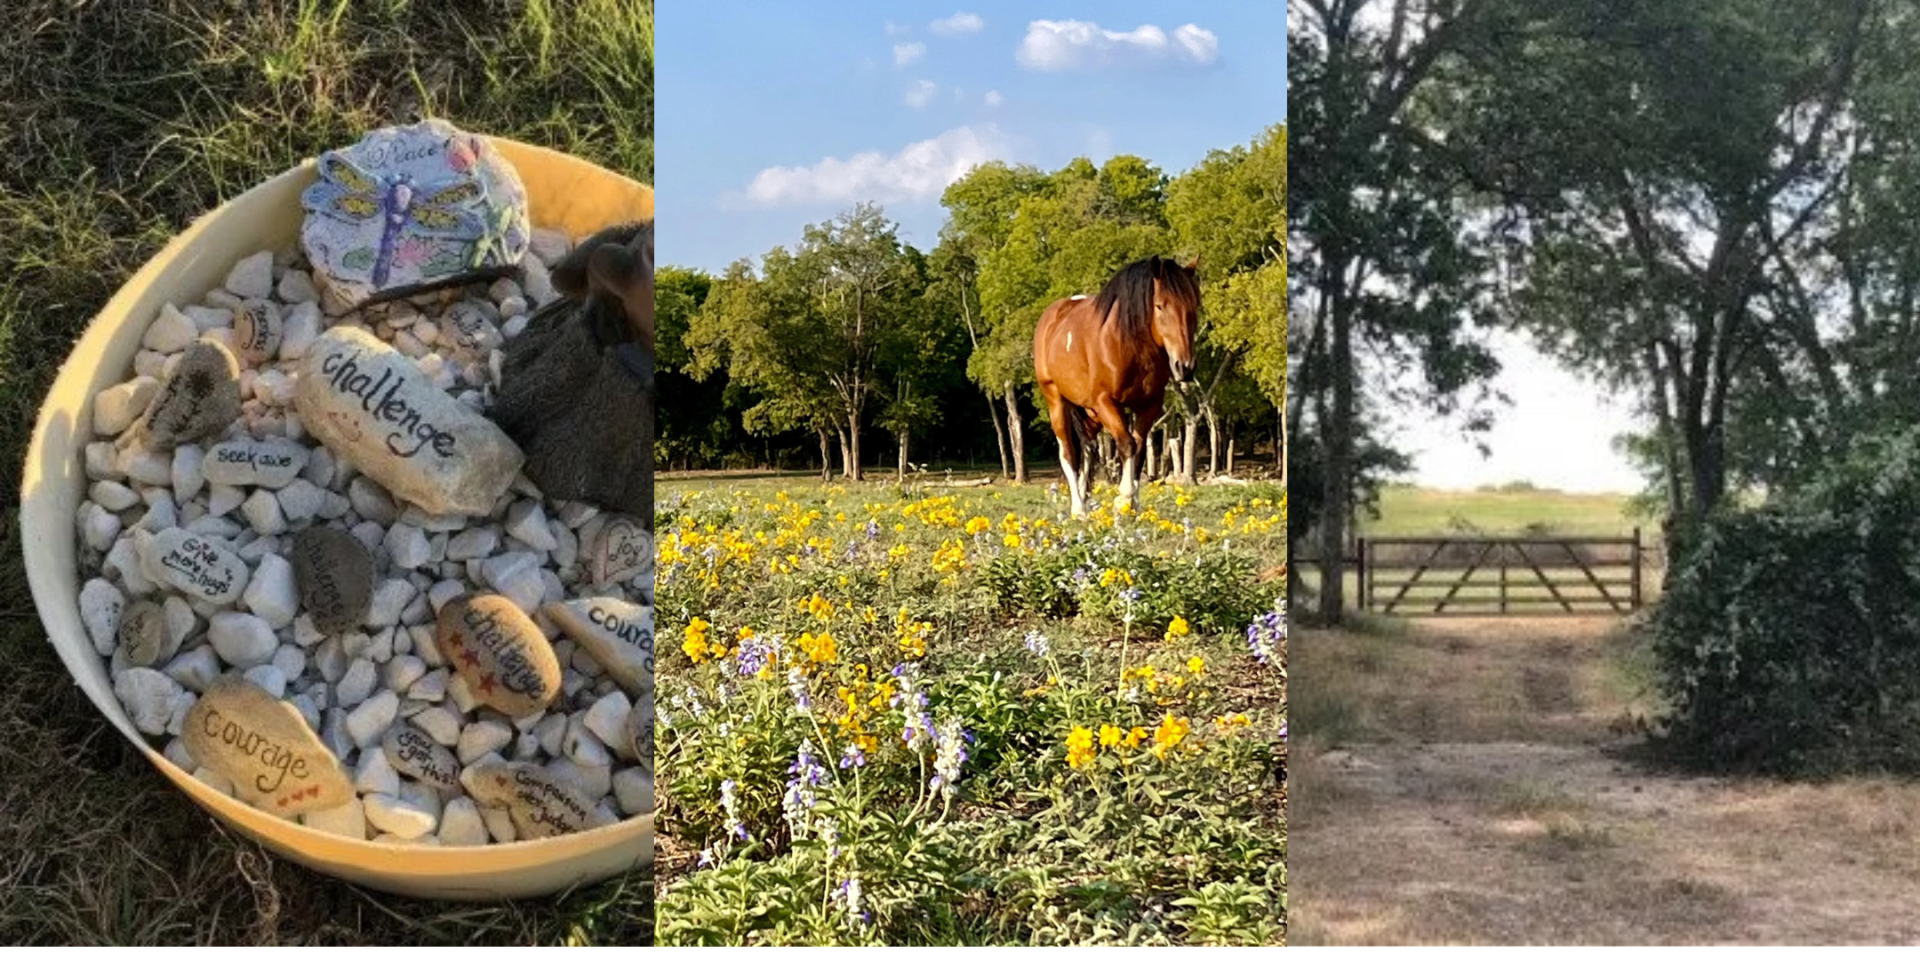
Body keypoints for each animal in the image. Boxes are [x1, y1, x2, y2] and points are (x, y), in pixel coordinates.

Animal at [1036, 251, 1198, 514]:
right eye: (1160, 305)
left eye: (1194, 306)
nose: (1185, 367)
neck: (1127, 344)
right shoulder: (1106, 403)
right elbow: (1127, 444)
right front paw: (1124, 497)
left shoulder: (1149, 406)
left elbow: (1140, 448)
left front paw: (1133, 504)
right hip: (1056, 400)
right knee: (1068, 453)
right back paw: (1078, 508)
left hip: (1089, 413)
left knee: (1089, 447)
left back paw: (1085, 497)